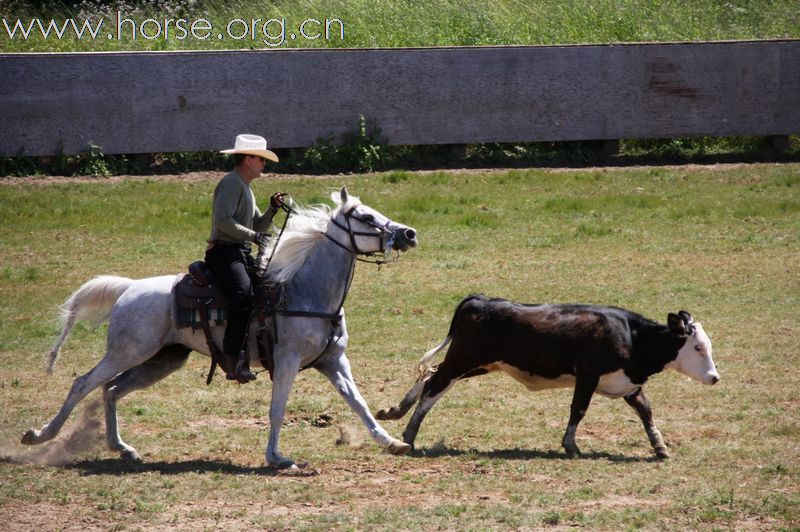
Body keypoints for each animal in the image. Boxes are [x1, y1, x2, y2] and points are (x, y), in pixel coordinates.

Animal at [21, 187, 418, 470]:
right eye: (365, 216)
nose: (409, 234)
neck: (303, 290)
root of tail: (129, 288)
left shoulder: (333, 361)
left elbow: (359, 403)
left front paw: (391, 442)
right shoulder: (287, 361)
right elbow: (277, 409)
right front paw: (276, 458)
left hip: (162, 359)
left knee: (112, 389)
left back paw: (123, 448)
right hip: (128, 352)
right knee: (84, 383)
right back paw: (40, 435)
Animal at [378, 294, 720, 460]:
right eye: (698, 347)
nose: (715, 377)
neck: (632, 336)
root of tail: (480, 299)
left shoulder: (628, 384)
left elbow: (646, 412)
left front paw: (660, 447)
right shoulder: (588, 375)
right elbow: (578, 409)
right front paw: (571, 446)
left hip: (478, 364)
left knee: (430, 377)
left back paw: (395, 412)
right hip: (465, 359)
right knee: (434, 387)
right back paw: (408, 434)